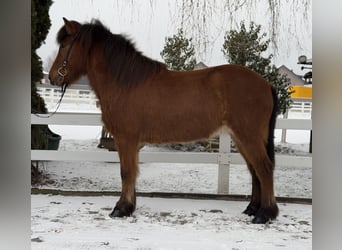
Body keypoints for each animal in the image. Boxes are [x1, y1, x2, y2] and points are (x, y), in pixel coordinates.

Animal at [48, 18, 278, 224]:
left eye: (65, 45)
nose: (52, 77)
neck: (125, 83)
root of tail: (266, 84)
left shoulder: (125, 139)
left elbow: (126, 172)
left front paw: (120, 209)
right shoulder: (133, 144)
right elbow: (133, 173)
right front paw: (129, 206)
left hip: (248, 136)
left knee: (264, 168)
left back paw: (264, 214)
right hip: (241, 138)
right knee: (255, 171)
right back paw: (252, 208)